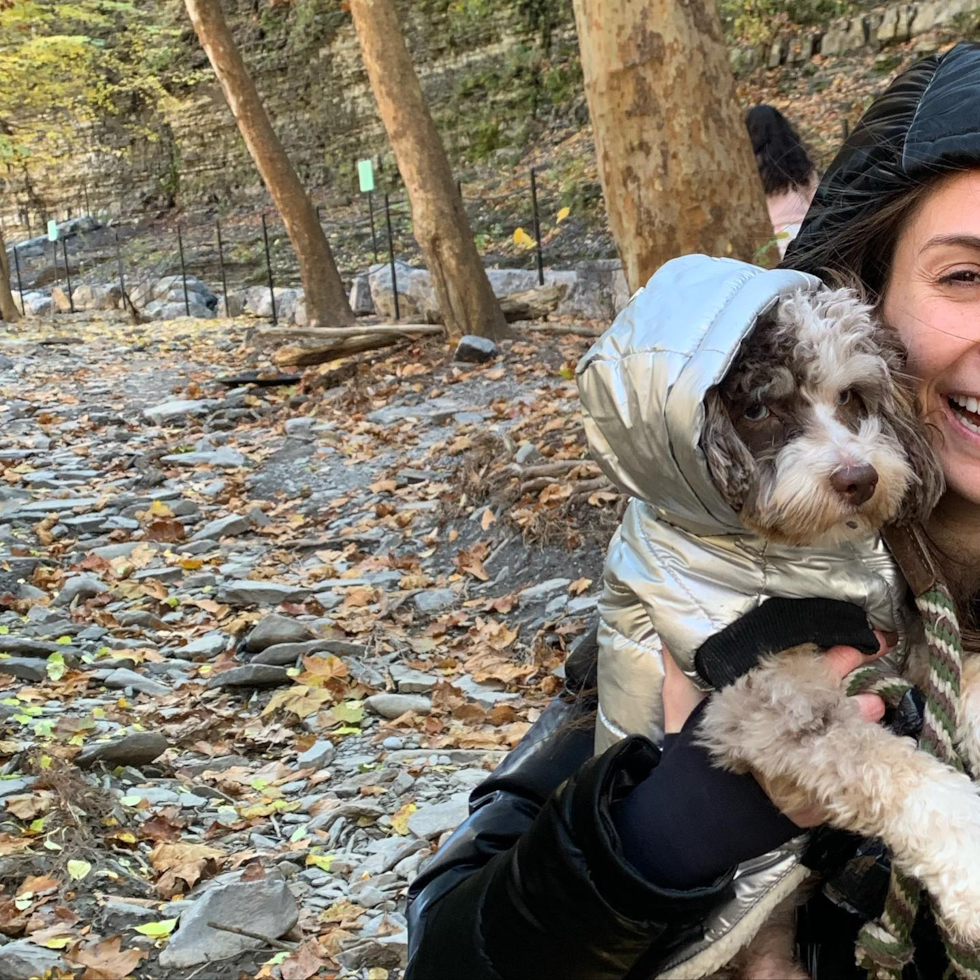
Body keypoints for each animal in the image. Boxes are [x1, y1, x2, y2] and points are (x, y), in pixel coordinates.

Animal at [688, 290, 980, 980]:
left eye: (849, 396)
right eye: (756, 409)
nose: (859, 478)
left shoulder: (901, 637)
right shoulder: (753, 694)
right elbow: (883, 762)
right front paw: (970, 859)